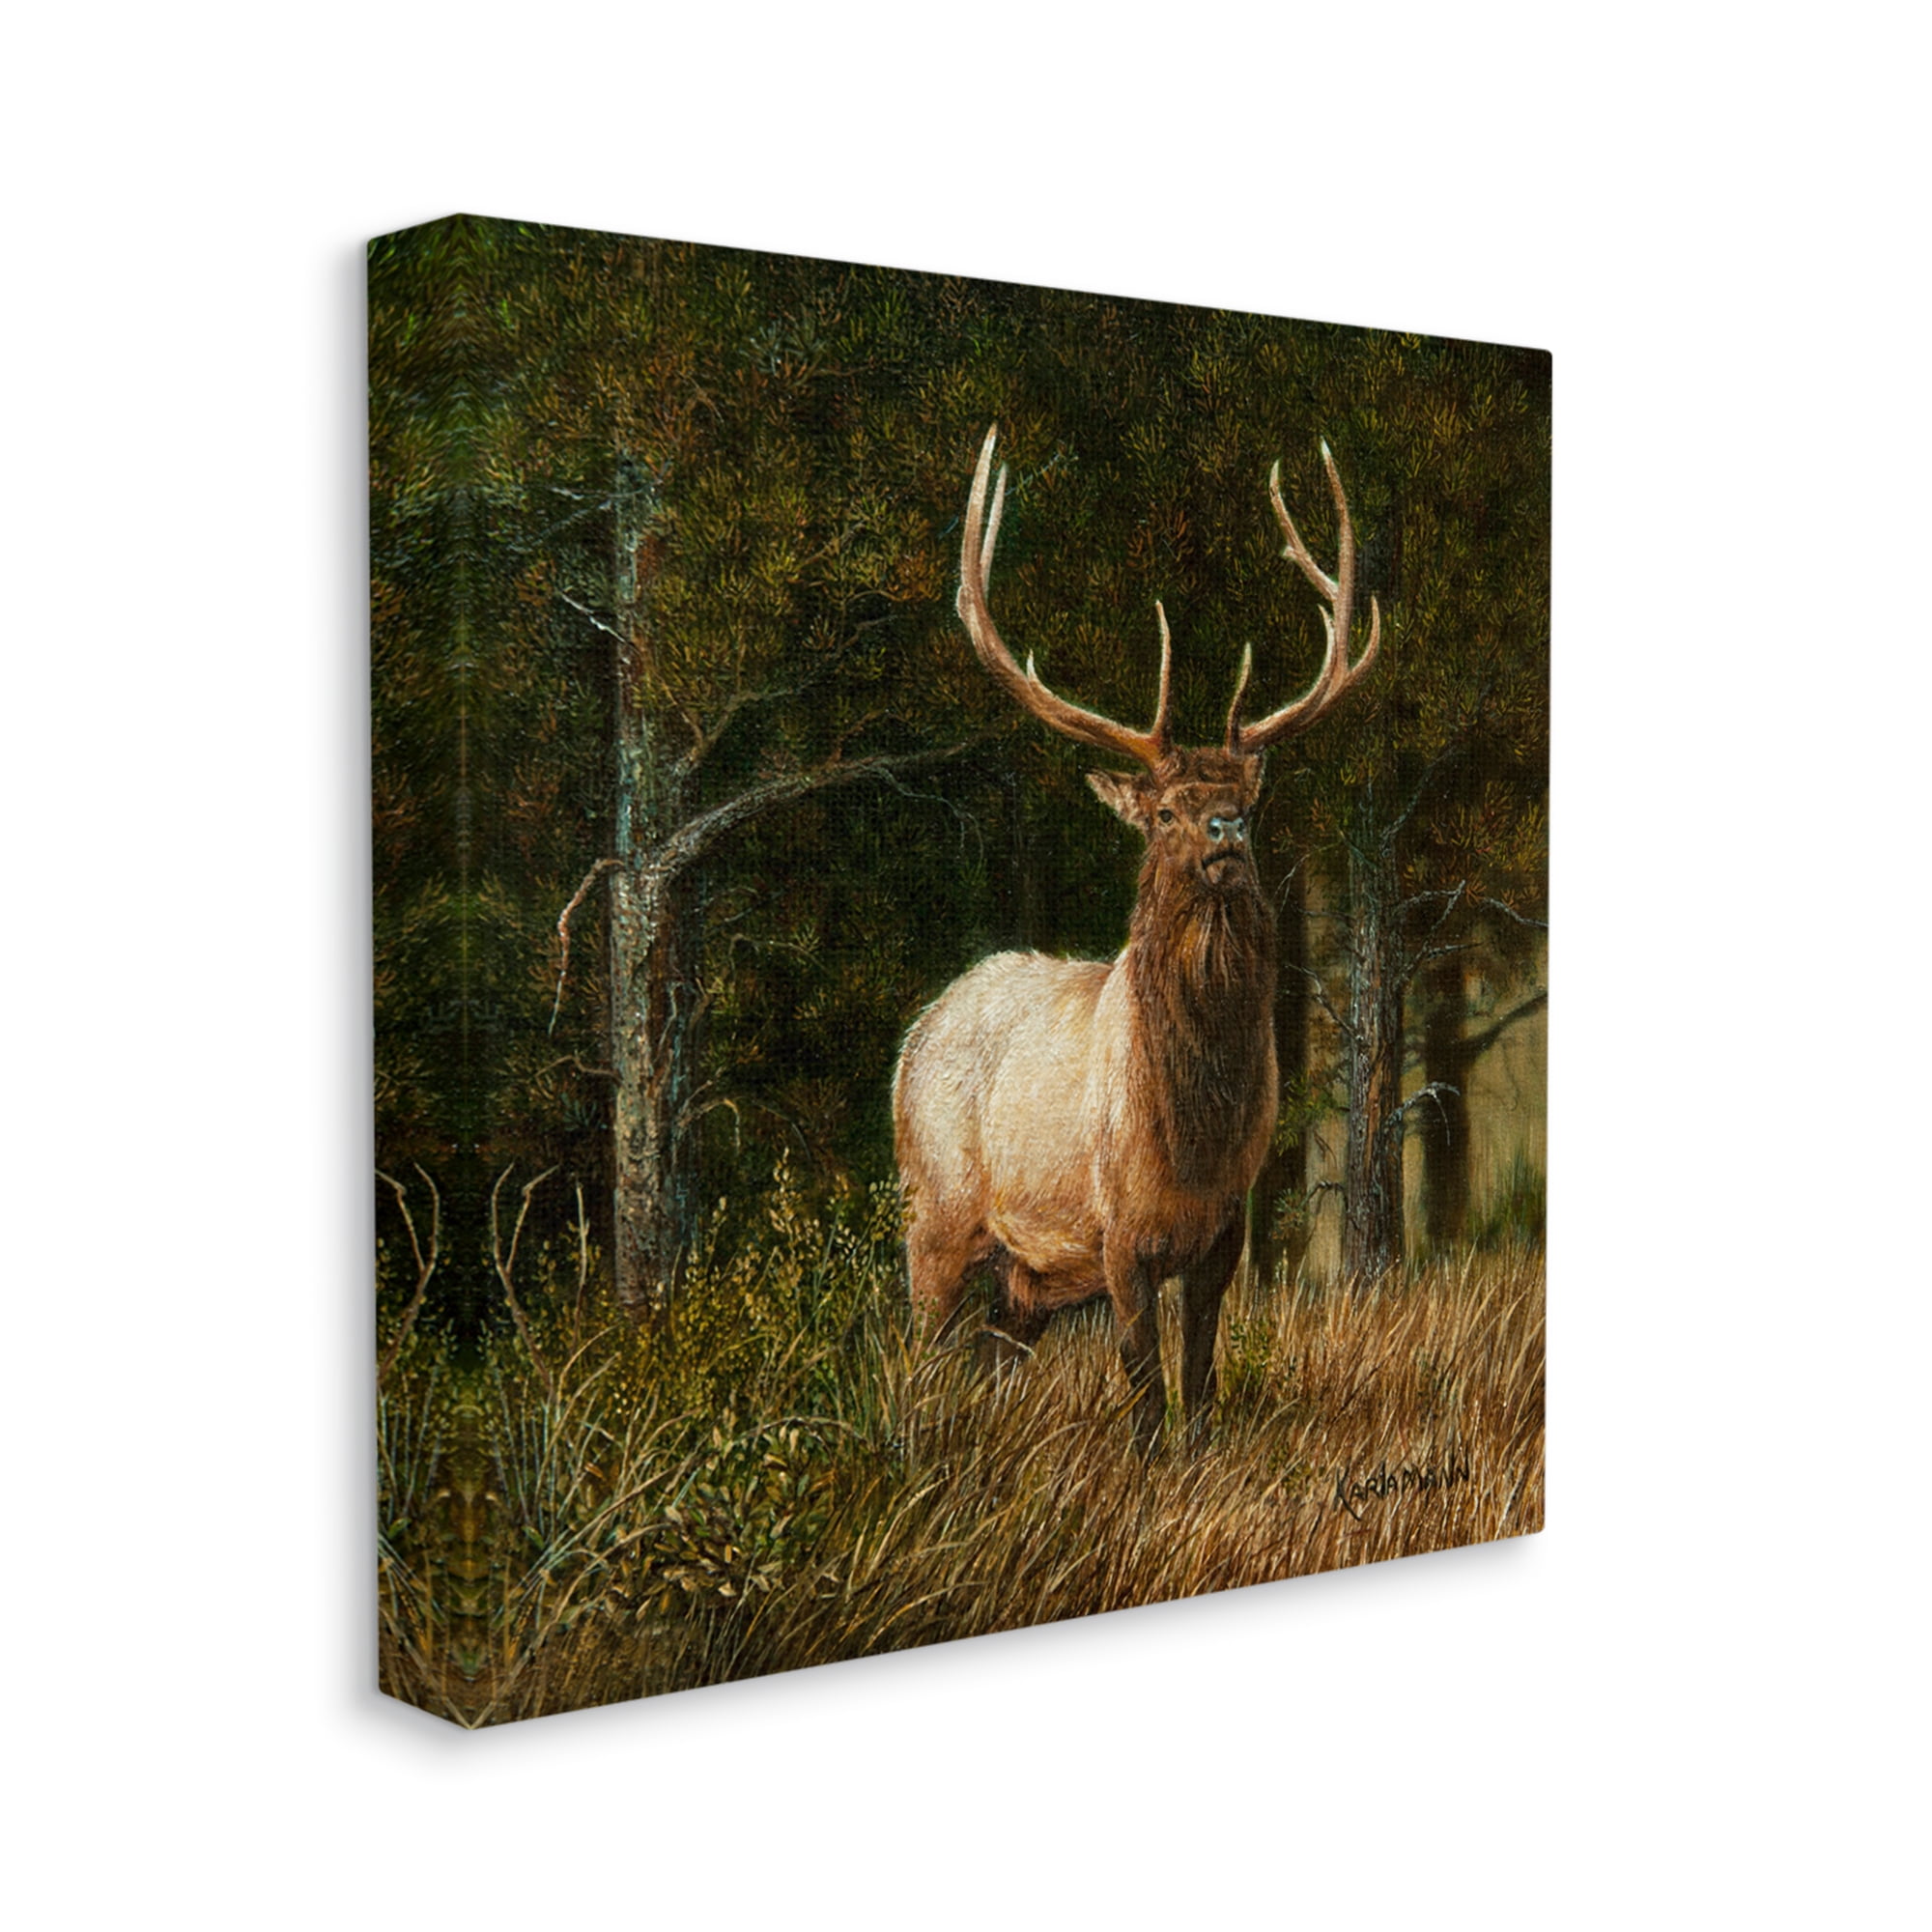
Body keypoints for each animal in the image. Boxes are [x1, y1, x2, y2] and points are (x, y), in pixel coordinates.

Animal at [892, 424, 1379, 1453]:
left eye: (1247, 803)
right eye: (1162, 811)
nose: (1224, 831)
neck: (1192, 1134)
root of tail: (918, 1031)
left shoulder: (1226, 1228)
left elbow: (1200, 1378)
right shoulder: (1116, 1232)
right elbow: (1145, 1385)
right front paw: (1149, 1462)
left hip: (1027, 1277)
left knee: (992, 1358)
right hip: (936, 1211)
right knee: (917, 1352)